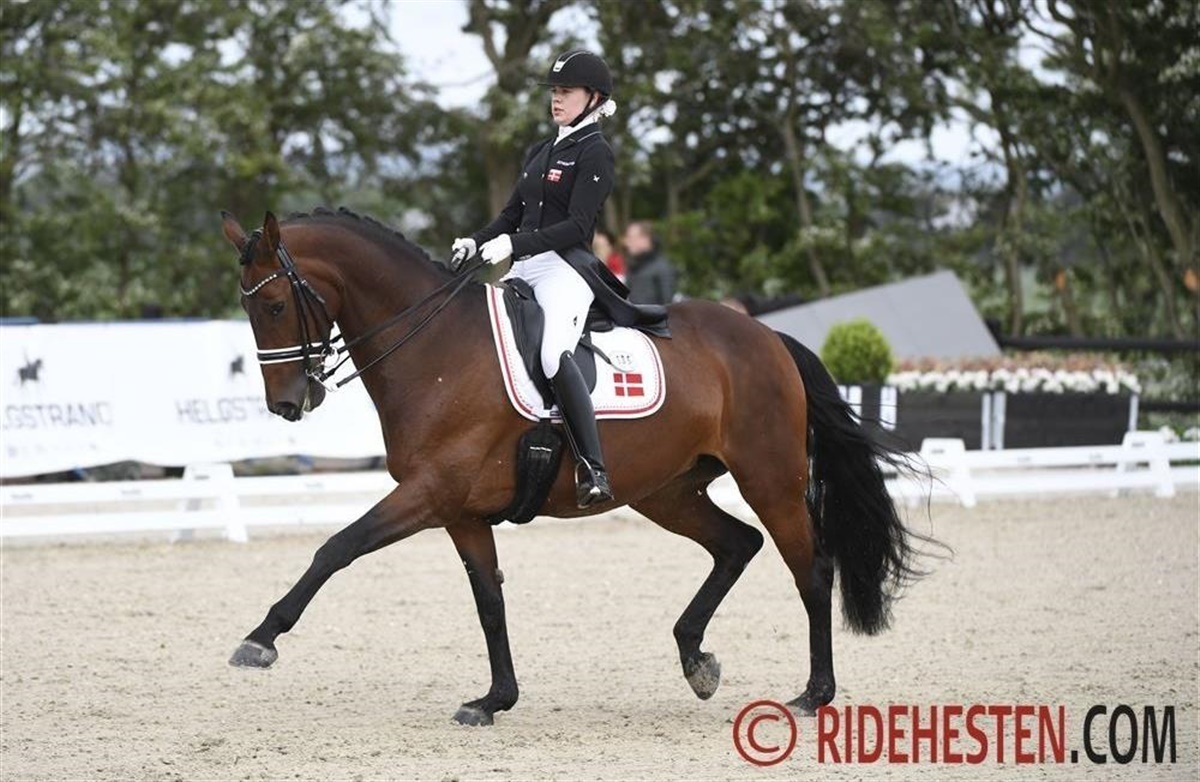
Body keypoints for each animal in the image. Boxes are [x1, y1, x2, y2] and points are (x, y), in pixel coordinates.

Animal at [221, 206, 927, 726]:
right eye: (249, 310)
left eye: (276, 307)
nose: (287, 404)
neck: (436, 349)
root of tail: (766, 336)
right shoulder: (460, 512)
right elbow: (489, 600)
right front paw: (494, 700)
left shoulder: (427, 494)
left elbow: (336, 548)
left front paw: (261, 638)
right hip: (667, 492)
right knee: (737, 544)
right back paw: (696, 660)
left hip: (770, 478)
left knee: (811, 568)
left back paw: (813, 694)